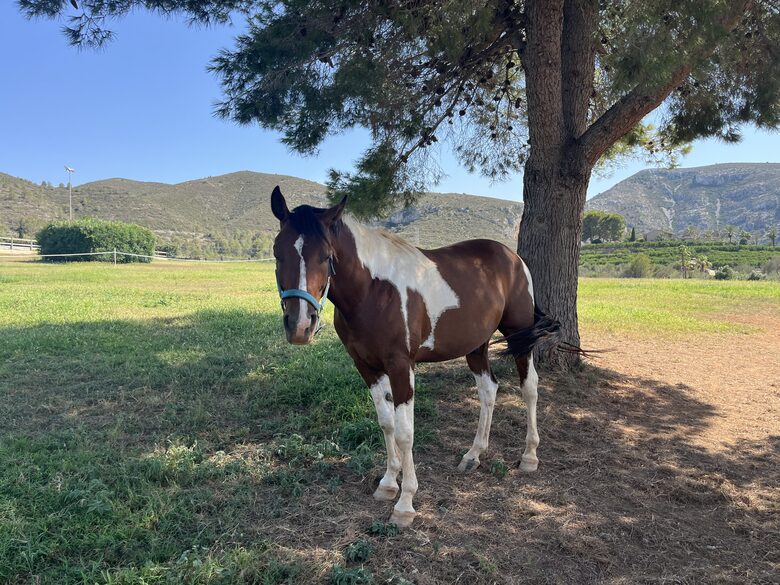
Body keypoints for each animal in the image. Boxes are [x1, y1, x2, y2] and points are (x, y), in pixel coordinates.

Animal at [270, 185, 561, 528]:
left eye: (326, 256)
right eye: (277, 252)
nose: (300, 326)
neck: (373, 290)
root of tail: (513, 258)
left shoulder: (401, 366)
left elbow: (405, 433)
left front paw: (405, 503)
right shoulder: (366, 366)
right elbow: (386, 424)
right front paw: (387, 484)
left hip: (520, 337)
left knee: (530, 388)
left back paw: (529, 456)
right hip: (476, 345)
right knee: (488, 390)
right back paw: (473, 455)